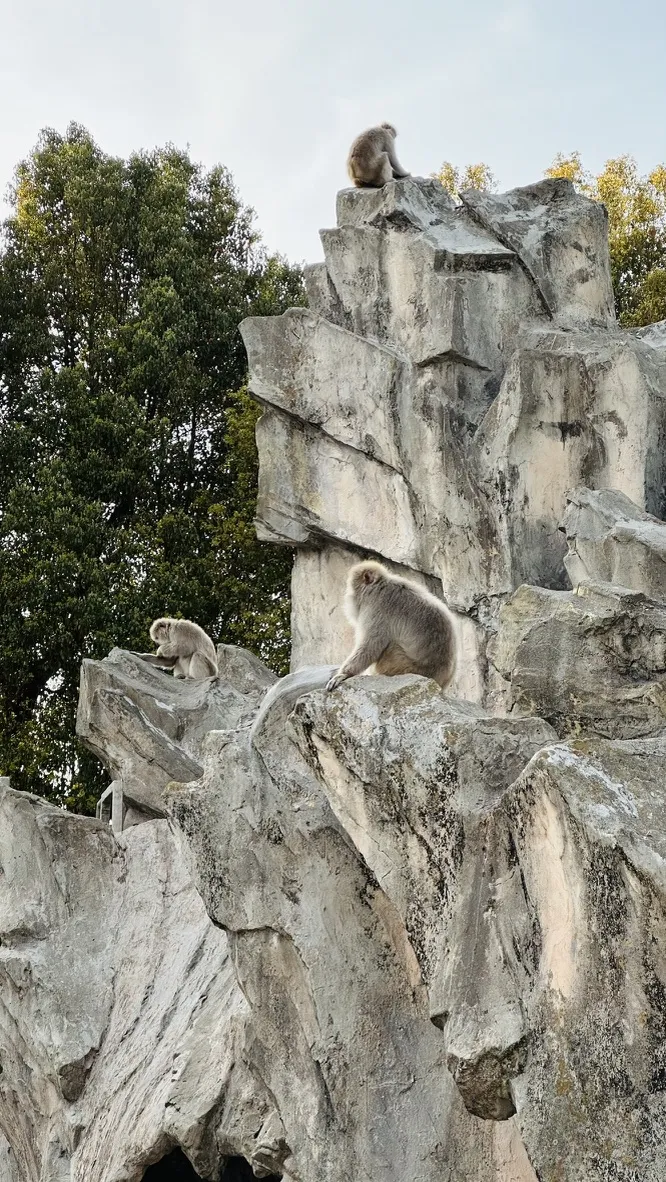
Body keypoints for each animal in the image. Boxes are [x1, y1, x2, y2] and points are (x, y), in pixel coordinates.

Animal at [326, 561, 456, 692]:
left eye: (351, 588)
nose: (348, 596)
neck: (380, 585)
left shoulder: (376, 607)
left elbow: (371, 646)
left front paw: (343, 674)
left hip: (401, 665)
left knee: (390, 646)